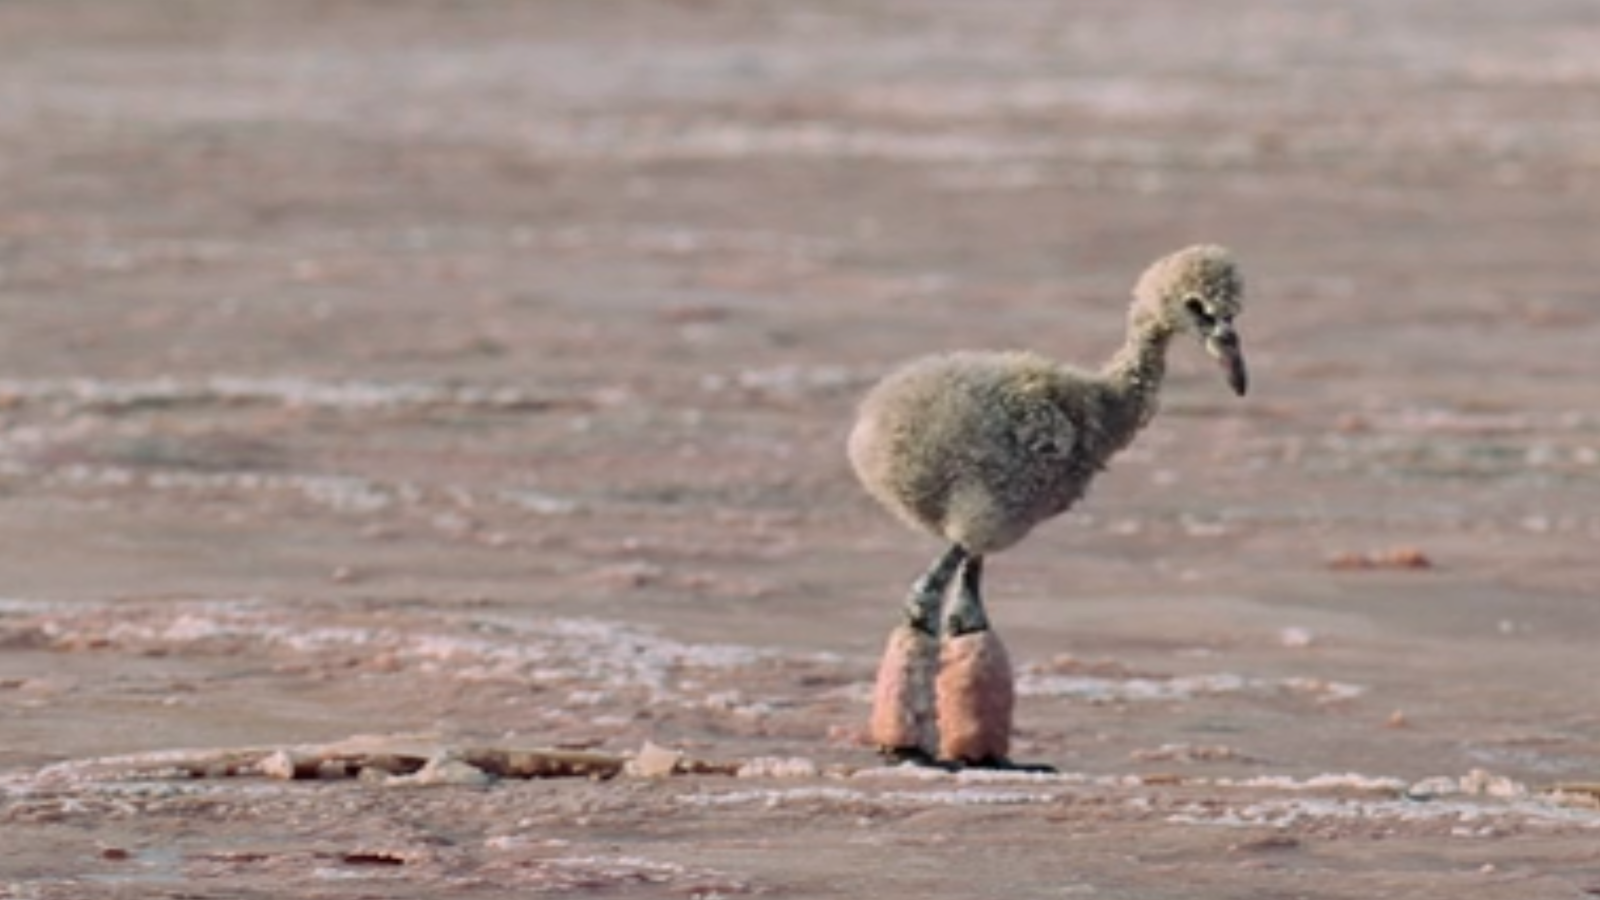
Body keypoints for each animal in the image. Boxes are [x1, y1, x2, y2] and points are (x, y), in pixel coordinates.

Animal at [847, 244, 1248, 768]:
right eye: (1197, 306)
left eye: (1234, 311)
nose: (1235, 368)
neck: (1104, 403)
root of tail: (884, 436)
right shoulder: (996, 513)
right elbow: (964, 616)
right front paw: (983, 751)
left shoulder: (987, 522)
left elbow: (963, 616)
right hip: (986, 504)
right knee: (927, 598)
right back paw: (921, 746)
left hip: (979, 510)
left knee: (934, 606)